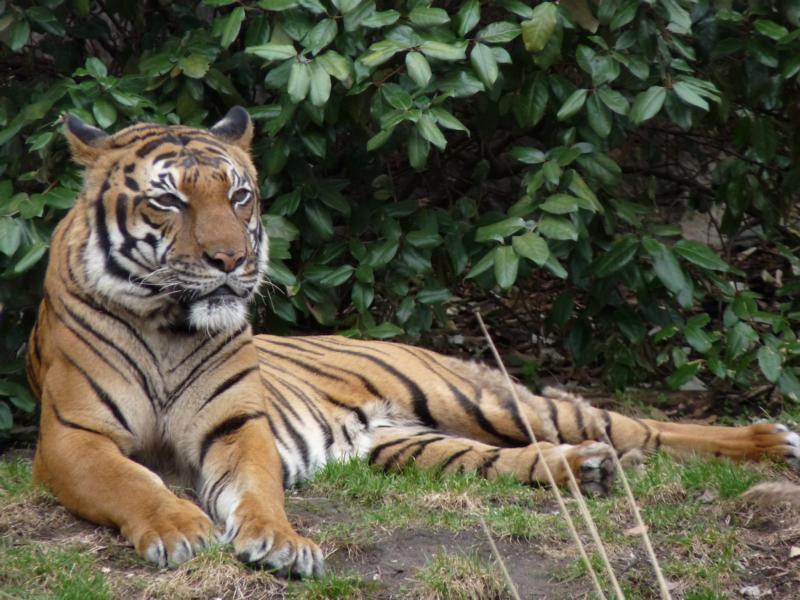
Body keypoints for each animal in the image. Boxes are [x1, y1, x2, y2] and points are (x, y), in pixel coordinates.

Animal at [26, 107, 800, 577]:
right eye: (169, 200)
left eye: (238, 195)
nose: (231, 260)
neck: (170, 324)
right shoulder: (72, 438)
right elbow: (132, 480)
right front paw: (180, 527)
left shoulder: (237, 425)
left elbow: (257, 490)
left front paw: (281, 542)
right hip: (410, 443)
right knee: (515, 457)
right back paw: (587, 470)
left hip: (488, 401)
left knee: (639, 425)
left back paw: (769, 441)